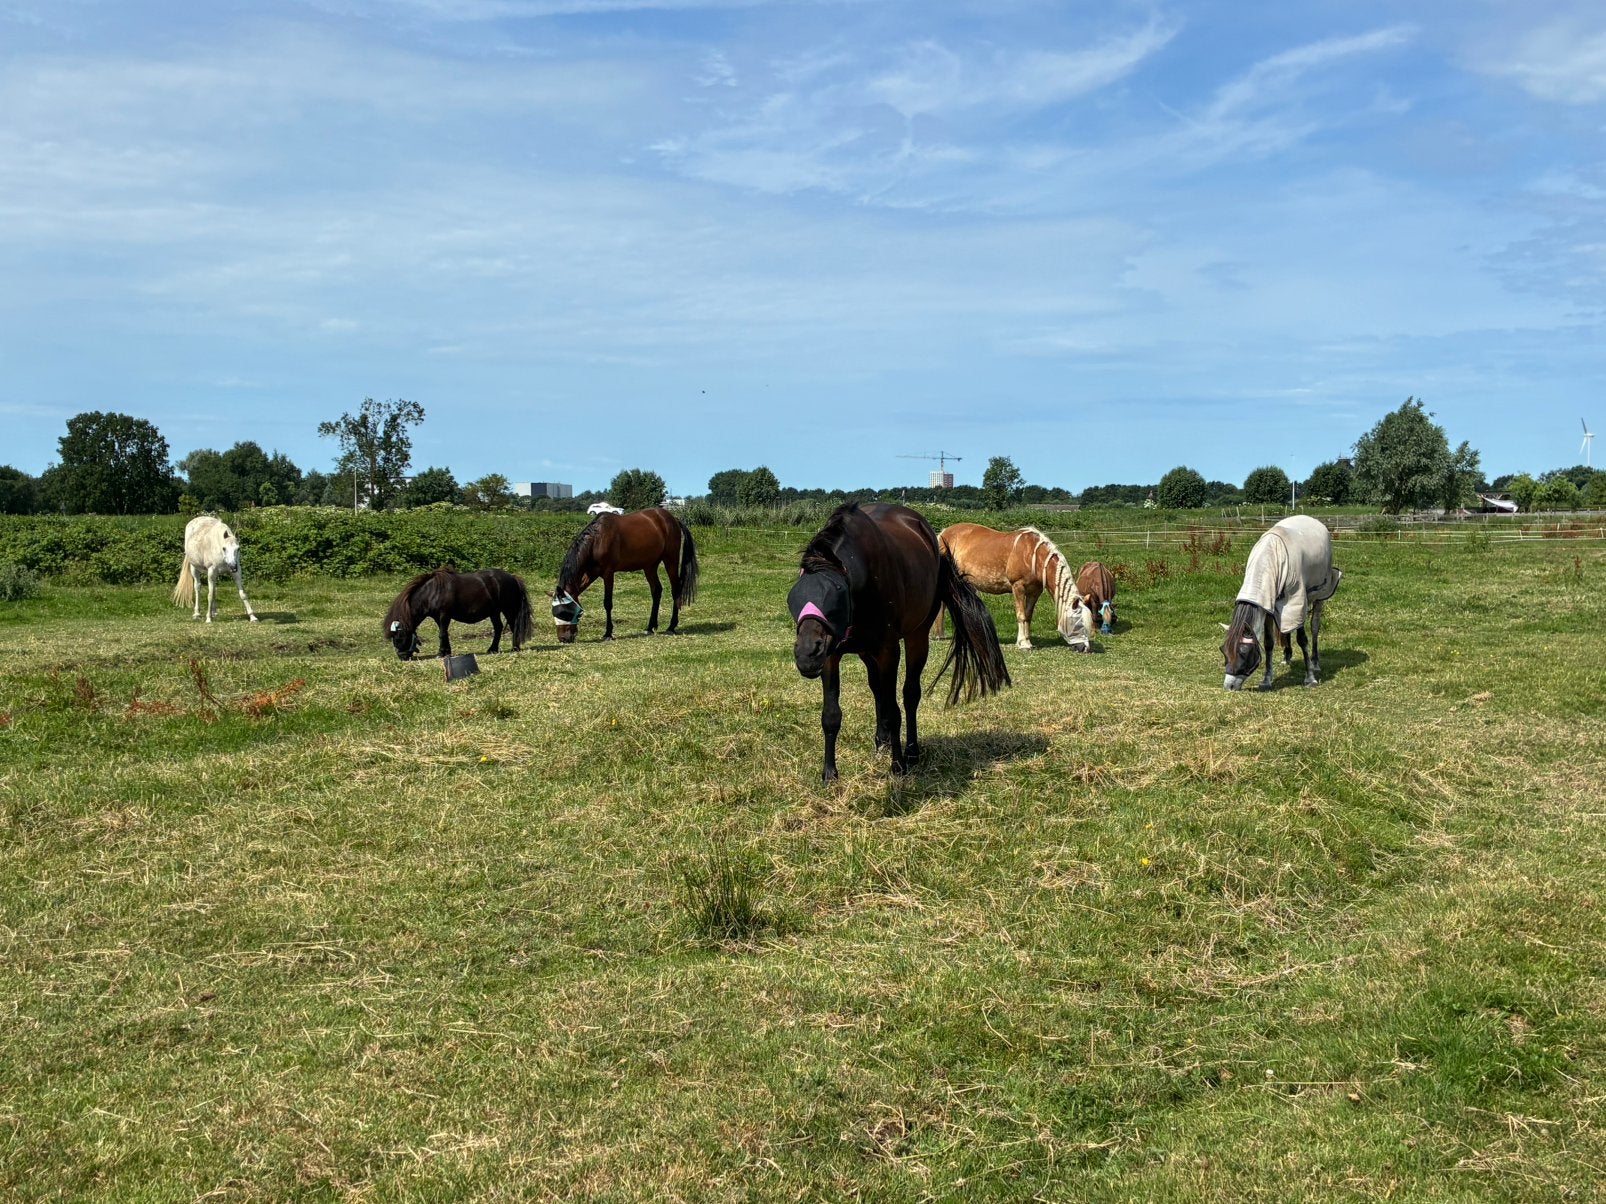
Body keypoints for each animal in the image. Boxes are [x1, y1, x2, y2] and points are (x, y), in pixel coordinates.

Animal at [384, 566, 534, 660]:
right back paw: (492, 649)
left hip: (508, 609)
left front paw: (441, 653)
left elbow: (442, 634)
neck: (432, 592)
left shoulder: (444, 615)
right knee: (498, 628)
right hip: (494, 612)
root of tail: (513, 577)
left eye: (398, 637)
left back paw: (515, 648)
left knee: (513, 626)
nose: (402, 657)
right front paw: (446, 652)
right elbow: (444, 634)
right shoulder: (438, 617)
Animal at [551, 507, 699, 642]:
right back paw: (650, 627)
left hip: (670, 560)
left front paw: (608, 633)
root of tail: (672, 518)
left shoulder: (608, 574)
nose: (563, 639)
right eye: (554, 612)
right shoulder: (591, 574)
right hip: (650, 566)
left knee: (675, 589)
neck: (597, 539)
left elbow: (607, 603)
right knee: (657, 591)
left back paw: (671, 627)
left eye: (565, 613)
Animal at [790, 503, 1012, 781]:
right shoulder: (831, 655)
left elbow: (895, 710)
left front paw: (898, 766)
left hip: (916, 638)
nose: (807, 653)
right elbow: (831, 714)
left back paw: (911, 752)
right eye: (795, 596)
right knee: (878, 690)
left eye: (837, 594)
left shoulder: (888, 651)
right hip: (865, 651)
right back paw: (882, 741)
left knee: (909, 694)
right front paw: (830, 773)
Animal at [934, 524, 1095, 651]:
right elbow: (1021, 615)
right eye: (1078, 623)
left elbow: (1028, 616)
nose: (1085, 648)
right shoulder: (1018, 587)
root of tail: (942, 534)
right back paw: (939, 635)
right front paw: (1023, 644)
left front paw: (1027, 641)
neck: (1033, 556)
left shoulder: (1035, 592)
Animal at [1220, 515, 1342, 690]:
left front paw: (1310, 678)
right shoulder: (1267, 603)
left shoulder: (1298, 601)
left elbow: (1302, 639)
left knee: (1315, 626)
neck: (1271, 557)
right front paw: (1266, 680)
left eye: (1243, 653)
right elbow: (1269, 643)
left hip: (1320, 594)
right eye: (1223, 651)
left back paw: (1315, 662)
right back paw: (1287, 657)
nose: (1228, 686)